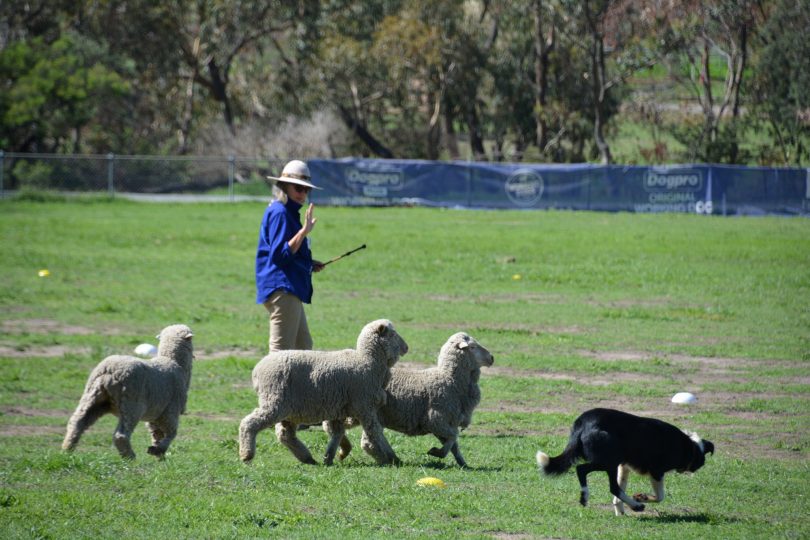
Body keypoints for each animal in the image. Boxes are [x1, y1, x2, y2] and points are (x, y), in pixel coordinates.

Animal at [61, 324, 194, 460]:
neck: (173, 362)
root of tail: (109, 371)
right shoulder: (170, 410)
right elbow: (171, 433)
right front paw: (159, 450)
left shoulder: (156, 413)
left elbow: (156, 434)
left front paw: (158, 453)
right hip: (132, 405)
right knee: (121, 435)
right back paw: (130, 457)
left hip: (93, 398)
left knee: (76, 422)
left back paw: (67, 450)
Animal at [237, 318, 408, 466]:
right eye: (392, 334)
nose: (406, 347)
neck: (368, 361)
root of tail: (257, 369)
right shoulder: (364, 406)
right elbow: (375, 432)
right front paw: (392, 457)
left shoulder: (340, 409)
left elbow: (337, 433)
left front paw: (332, 456)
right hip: (275, 401)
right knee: (249, 423)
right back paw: (247, 454)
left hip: (290, 409)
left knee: (285, 435)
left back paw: (307, 458)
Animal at [326, 332, 492, 466]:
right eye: (472, 347)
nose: (492, 358)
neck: (449, 379)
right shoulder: (436, 419)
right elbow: (453, 436)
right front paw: (436, 452)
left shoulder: (446, 422)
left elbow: (454, 445)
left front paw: (463, 463)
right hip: (361, 409)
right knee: (364, 439)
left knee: (337, 428)